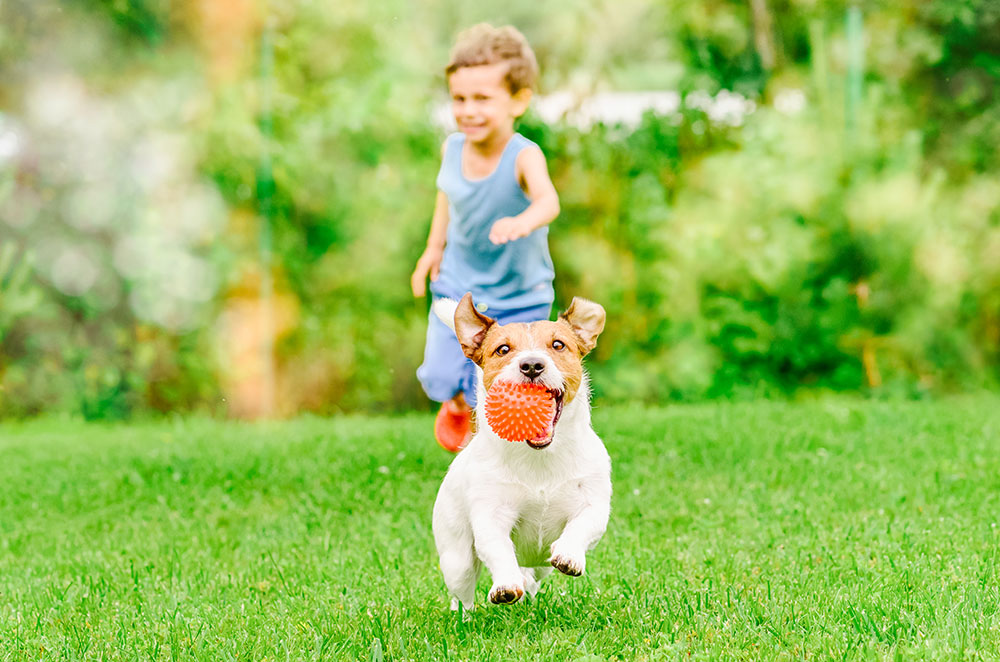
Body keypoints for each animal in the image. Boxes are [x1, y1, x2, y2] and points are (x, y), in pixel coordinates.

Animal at [434, 294, 612, 616]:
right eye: (503, 349)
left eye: (558, 345)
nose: (531, 364)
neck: (539, 458)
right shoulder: (491, 515)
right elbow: (498, 548)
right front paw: (505, 585)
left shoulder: (593, 504)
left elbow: (582, 526)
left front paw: (569, 555)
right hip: (457, 558)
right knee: (462, 593)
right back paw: (464, 617)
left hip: (539, 565)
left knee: (533, 575)